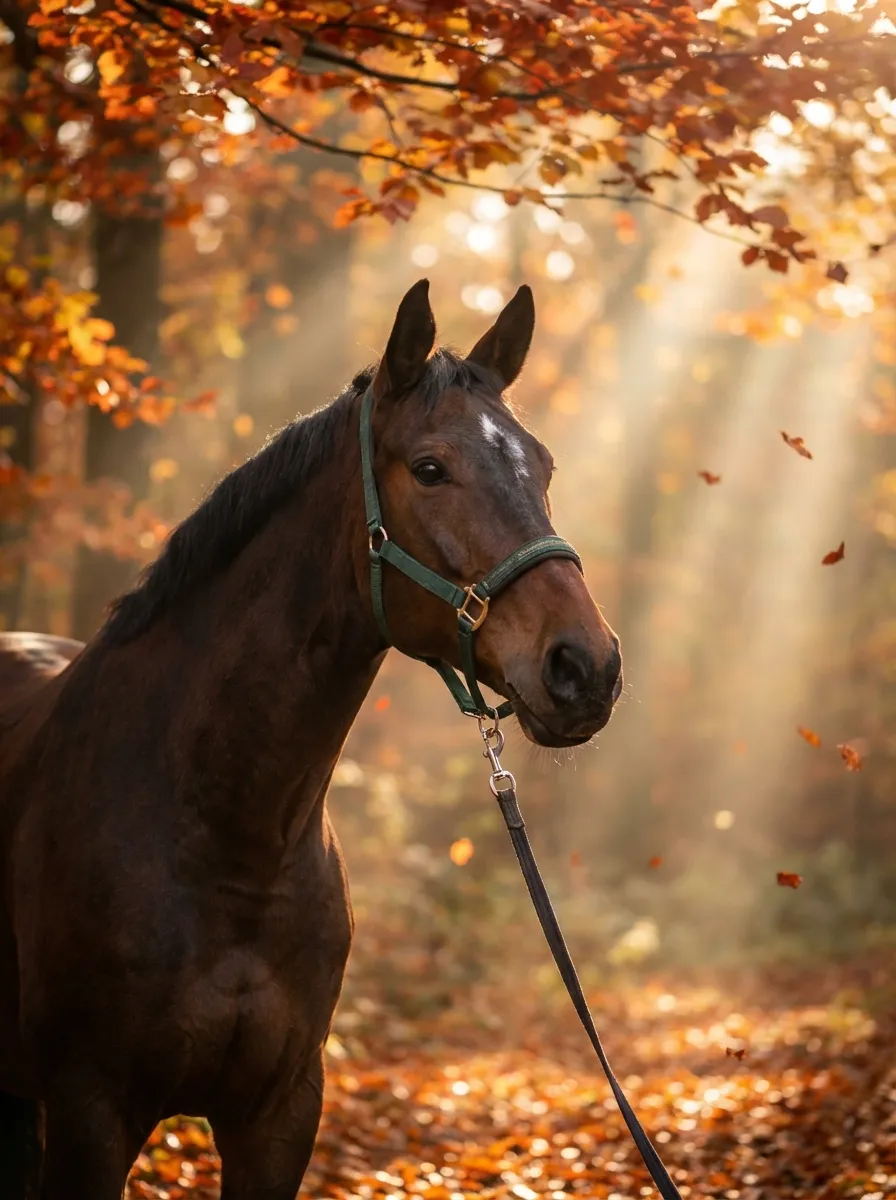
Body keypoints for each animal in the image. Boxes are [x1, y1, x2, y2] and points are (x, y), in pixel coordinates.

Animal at [0, 280, 622, 1200]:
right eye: (429, 468)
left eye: (542, 467)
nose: (588, 667)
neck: (228, 837)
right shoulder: (89, 1114)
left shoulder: (281, 1115)